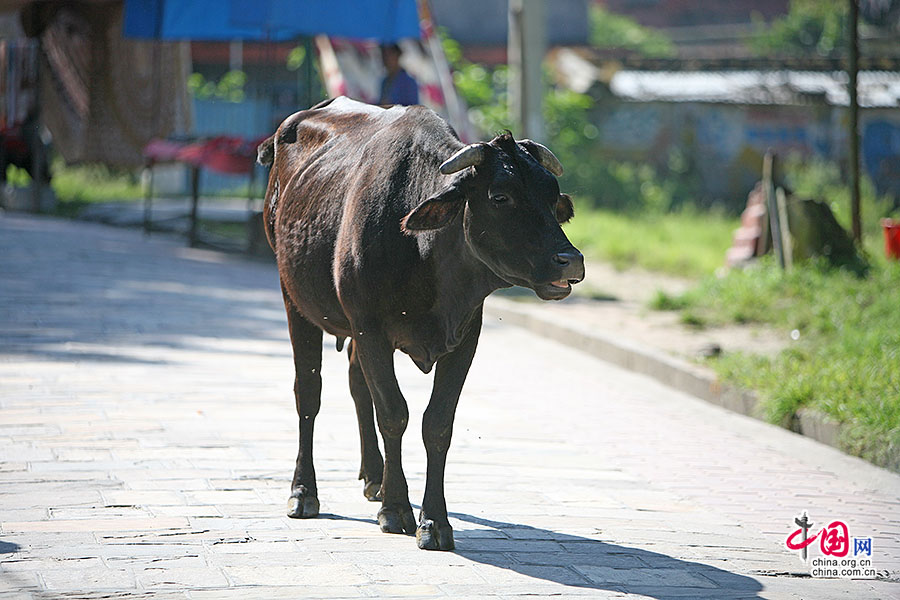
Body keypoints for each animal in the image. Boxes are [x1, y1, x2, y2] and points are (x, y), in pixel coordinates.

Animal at [258, 96, 584, 552]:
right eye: (500, 196)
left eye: (552, 197)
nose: (570, 260)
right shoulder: (371, 330)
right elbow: (394, 413)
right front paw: (396, 508)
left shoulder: (465, 337)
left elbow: (437, 424)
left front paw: (434, 520)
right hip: (295, 300)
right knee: (309, 393)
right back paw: (304, 491)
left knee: (357, 383)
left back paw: (374, 477)